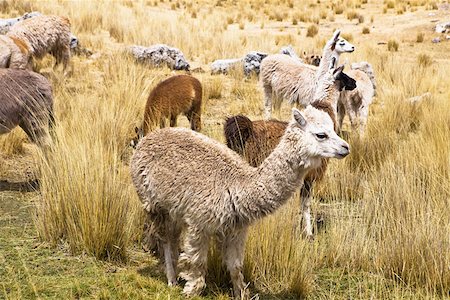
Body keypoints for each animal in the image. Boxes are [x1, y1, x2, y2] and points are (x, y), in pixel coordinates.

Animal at [131, 106, 352, 298]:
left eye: (334, 129)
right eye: (321, 135)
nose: (346, 147)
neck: (238, 185)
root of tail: (148, 138)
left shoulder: (236, 229)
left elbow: (235, 267)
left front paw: (242, 294)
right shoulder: (199, 224)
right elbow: (198, 263)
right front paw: (191, 289)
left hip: (174, 210)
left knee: (173, 236)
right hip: (153, 203)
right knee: (165, 238)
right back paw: (171, 278)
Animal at [225, 64, 356, 238]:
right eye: (345, 75)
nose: (354, 83)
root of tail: (246, 130)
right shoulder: (310, 175)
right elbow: (305, 205)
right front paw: (308, 232)